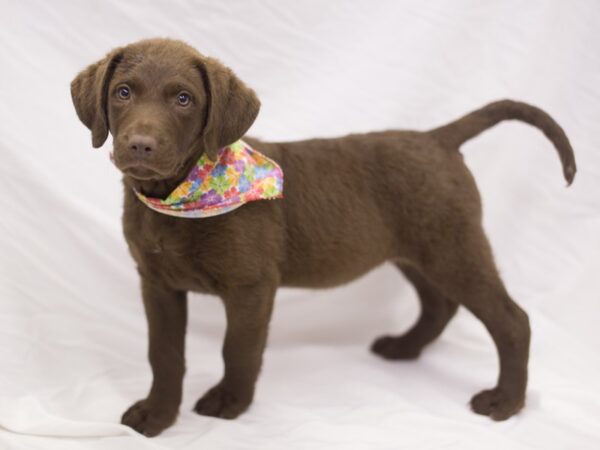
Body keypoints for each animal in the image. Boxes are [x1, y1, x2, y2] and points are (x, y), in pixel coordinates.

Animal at [70, 38, 576, 436]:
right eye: (123, 92)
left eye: (183, 99)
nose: (140, 145)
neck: (177, 198)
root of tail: (438, 138)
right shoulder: (157, 284)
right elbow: (164, 354)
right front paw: (157, 415)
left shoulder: (251, 286)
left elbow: (238, 348)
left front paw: (230, 403)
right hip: (414, 250)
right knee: (440, 305)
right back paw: (405, 348)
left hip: (453, 246)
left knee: (512, 319)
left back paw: (505, 402)